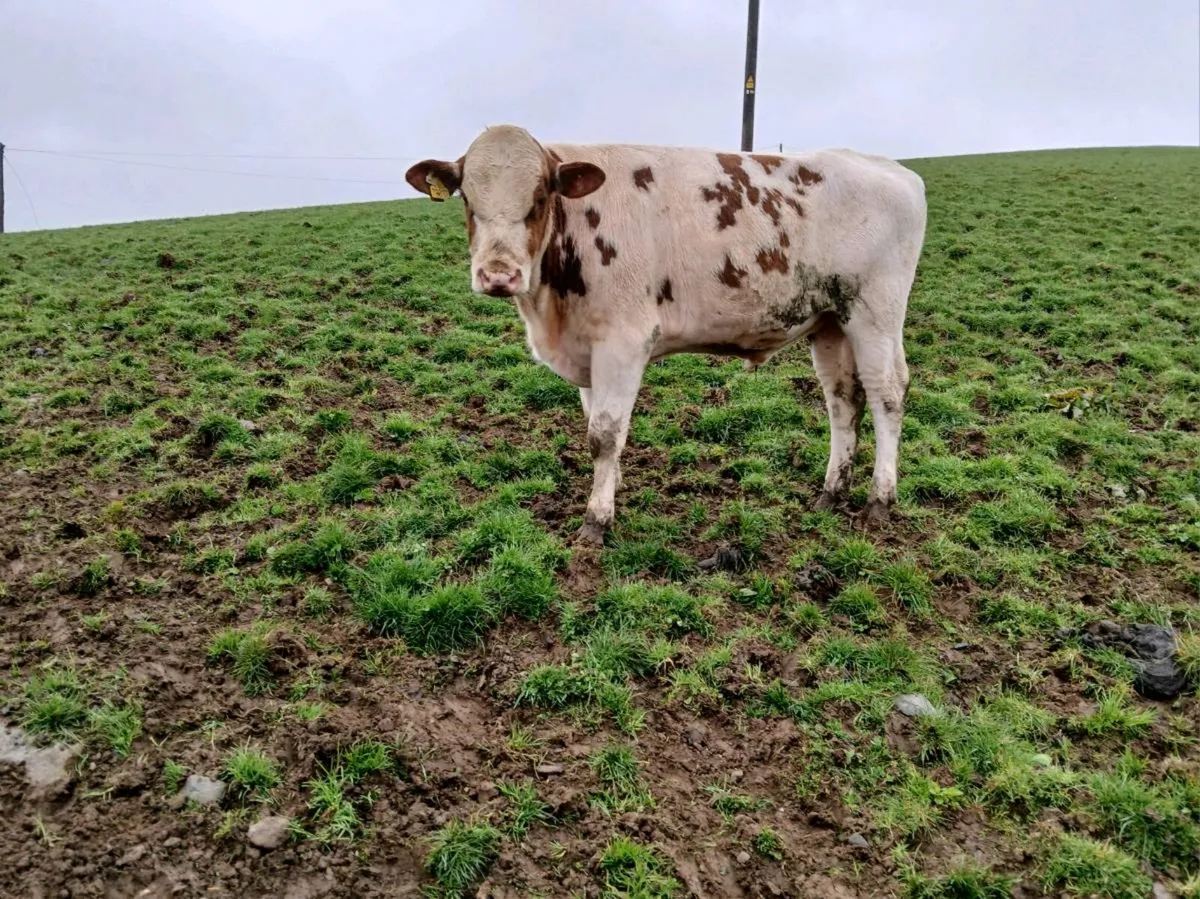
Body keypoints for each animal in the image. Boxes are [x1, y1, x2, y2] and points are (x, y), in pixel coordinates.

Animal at [404, 125, 927, 545]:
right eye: (468, 200)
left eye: (538, 200)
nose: (498, 275)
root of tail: (892, 168)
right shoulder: (588, 350)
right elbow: (597, 426)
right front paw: (612, 489)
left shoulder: (623, 342)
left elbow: (604, 435)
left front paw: (596, 520)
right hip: (830, 321)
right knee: (843, 400)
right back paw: (831, 492)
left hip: (875, 313)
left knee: (886, 394)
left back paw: (880, 498)